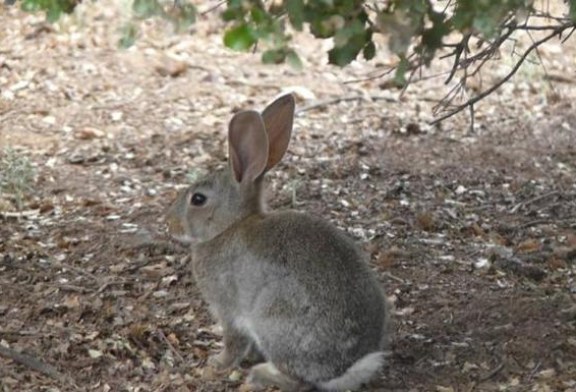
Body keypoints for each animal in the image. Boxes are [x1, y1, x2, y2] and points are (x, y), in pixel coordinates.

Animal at [166, 95, 392, 392]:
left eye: (198, 199)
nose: (170, 224)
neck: (229, 227)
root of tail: (346, 368)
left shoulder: (228, 310)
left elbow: (233, 341)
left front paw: (217, 364)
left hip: (273, 320)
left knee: (297, 380)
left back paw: (260, 374)